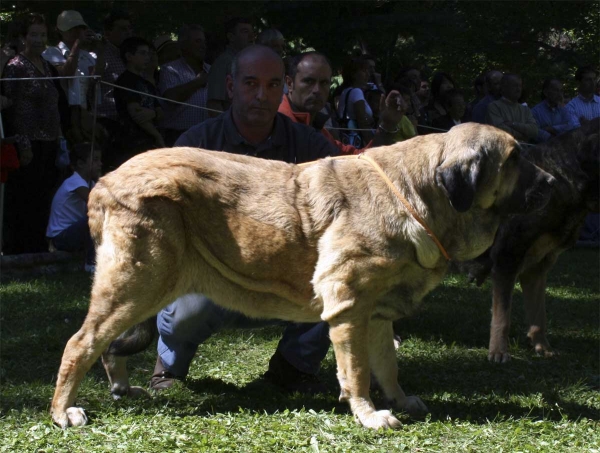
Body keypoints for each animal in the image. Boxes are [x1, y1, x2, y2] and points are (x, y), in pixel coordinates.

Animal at [54, 122, 556, 428]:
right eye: (515, 158)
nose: (554, 183)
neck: (421, 193)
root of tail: (103, 181)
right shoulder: (349, 306)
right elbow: (356, 371)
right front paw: (369, 415)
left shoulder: (376, 314)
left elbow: (386, 365)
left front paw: (398, 399)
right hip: (138, 283)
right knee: (80, 343)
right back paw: (64, 413)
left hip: (143, 288)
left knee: (105, 345)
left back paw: (120, 386)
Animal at [462, 118, 596, 362]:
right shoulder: (507, 259)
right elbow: (503, 315)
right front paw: (498, 352)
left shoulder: (538, 267)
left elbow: (538, 314)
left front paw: (542, 347)